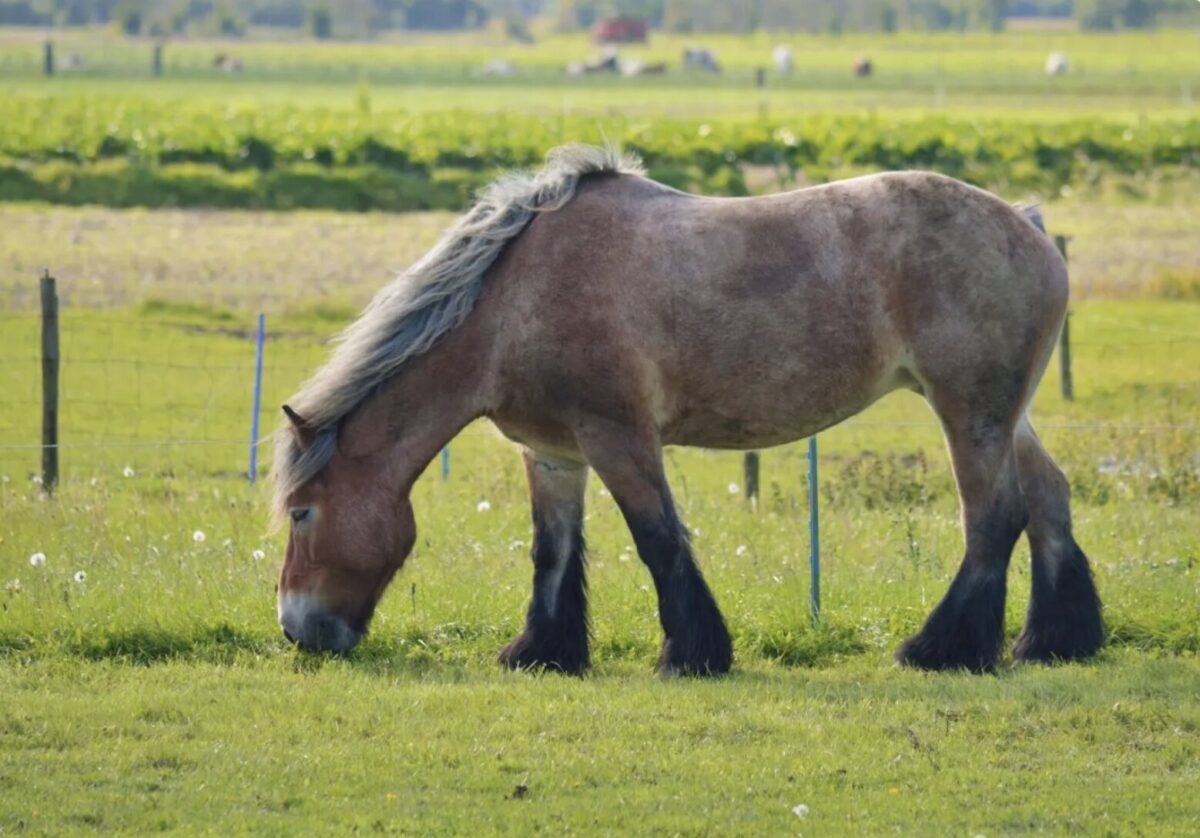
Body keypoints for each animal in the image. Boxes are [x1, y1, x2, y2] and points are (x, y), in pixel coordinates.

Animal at [273, 144, 1103, 675]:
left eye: (302, 513)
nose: (296, 629)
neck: (513, 302)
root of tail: (1026, 222)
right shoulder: (553, 453)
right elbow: (553, 551)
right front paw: (543, 652)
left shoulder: (619, 437)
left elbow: (658, 539)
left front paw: (692, 653)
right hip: (1005, 415)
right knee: (1049, 500)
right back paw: (1054, 641)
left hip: (971, 412)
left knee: (994, 517)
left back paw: (944, 650)